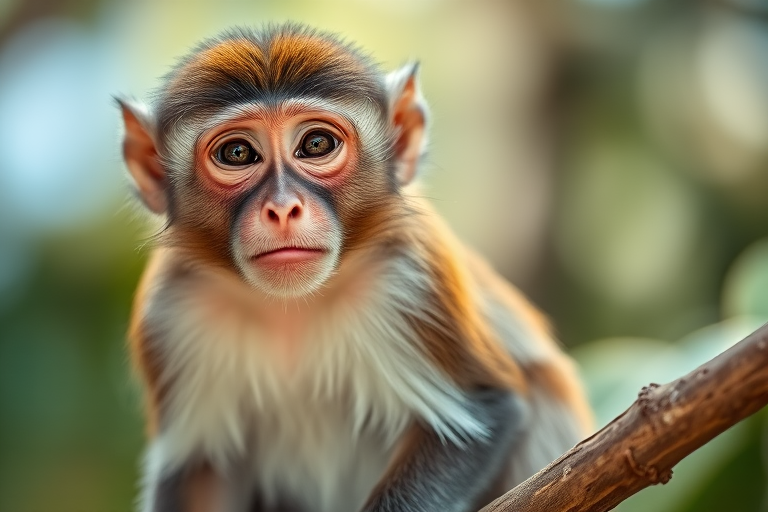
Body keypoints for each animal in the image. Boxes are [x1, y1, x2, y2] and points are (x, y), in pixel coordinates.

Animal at [118, 24, 592, 512]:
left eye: (316, 144)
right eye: (236, 153)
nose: (283, 208)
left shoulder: (412, 277)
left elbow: (486, 412)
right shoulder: (171, 311)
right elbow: (199, 470)